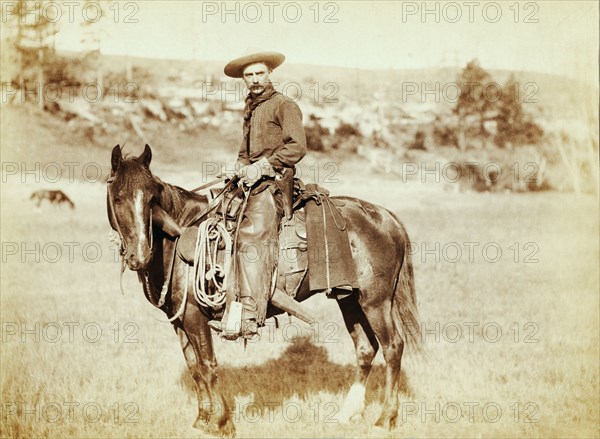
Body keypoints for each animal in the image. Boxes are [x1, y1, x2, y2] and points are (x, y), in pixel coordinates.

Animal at [105, 145, 420, 436]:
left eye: (151, 198)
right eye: (118, 197)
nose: (139, 256)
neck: (177, 238)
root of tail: (386, 217)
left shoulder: (195, 316)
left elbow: (208, 365)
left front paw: (221, 423)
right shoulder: (180, 320)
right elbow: (195, 368)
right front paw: (201, 420)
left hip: (376, 301)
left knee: (393, 347)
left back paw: (384, 419)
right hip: (349, 298)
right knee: (366, 348)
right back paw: (348, 413)